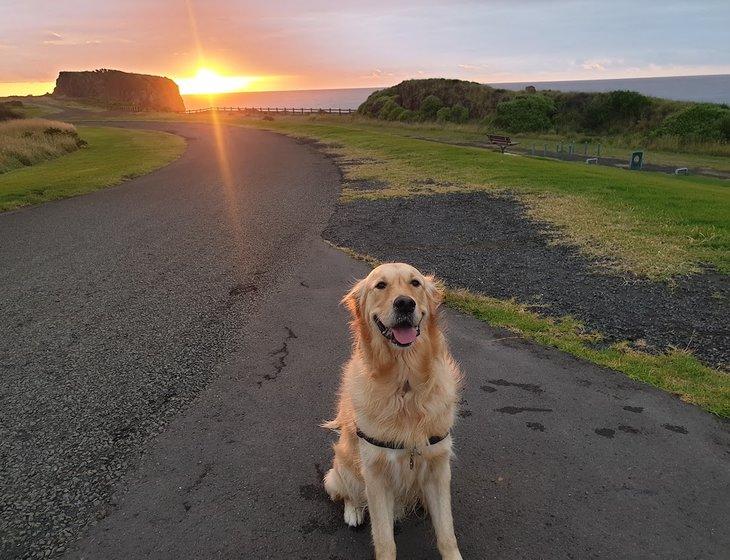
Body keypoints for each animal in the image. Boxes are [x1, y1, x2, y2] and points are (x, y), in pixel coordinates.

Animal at [322, 264, 460, 560]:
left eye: (415, 283)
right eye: (380, 285)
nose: (405, 303)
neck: (405, 386)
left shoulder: (438, 467)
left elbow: (447, 534)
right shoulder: (375, 476)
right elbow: (385, 541)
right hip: (344, 468)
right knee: (347, 492)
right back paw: (353, 512)